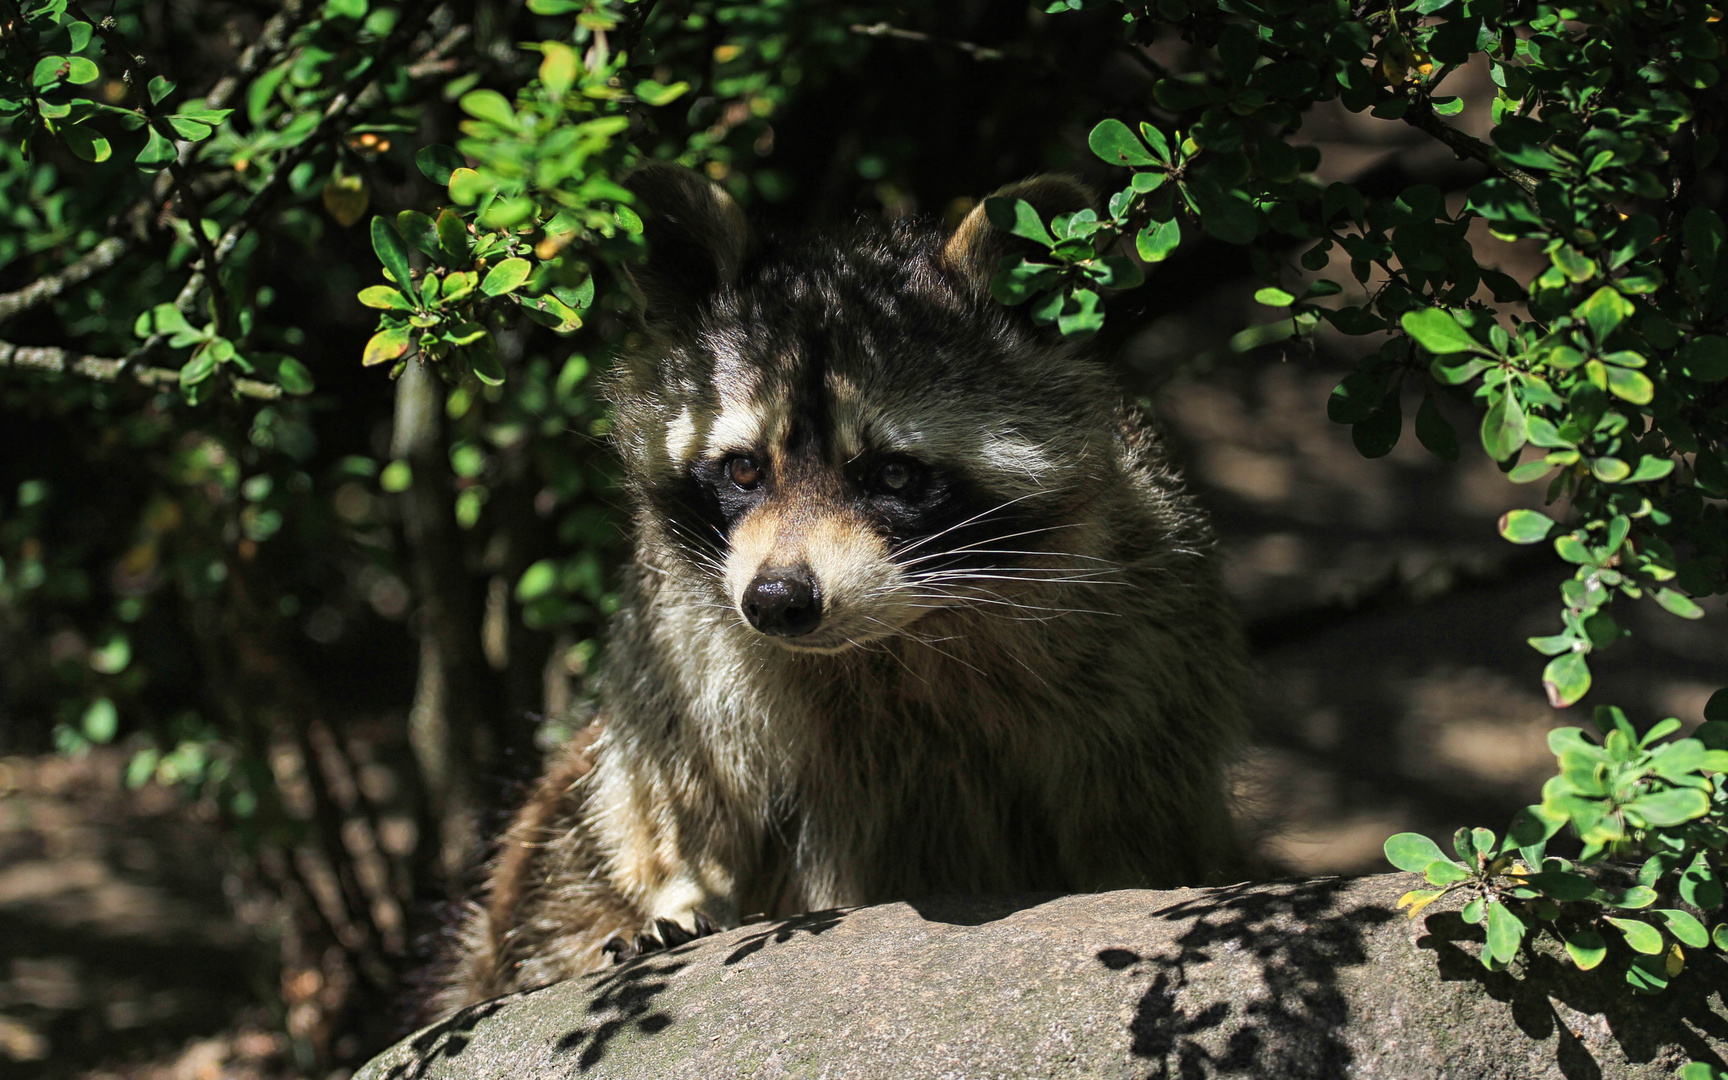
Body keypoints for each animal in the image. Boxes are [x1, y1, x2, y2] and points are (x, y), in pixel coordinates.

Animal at [428, 162, 1244, 1009]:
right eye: (743, 468)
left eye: (893, 474)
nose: (777, 602)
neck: (896, 634)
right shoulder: (678, 646)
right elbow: (670, 802)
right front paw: (685, 894)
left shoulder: (1147, 638)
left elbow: (1139, 825)